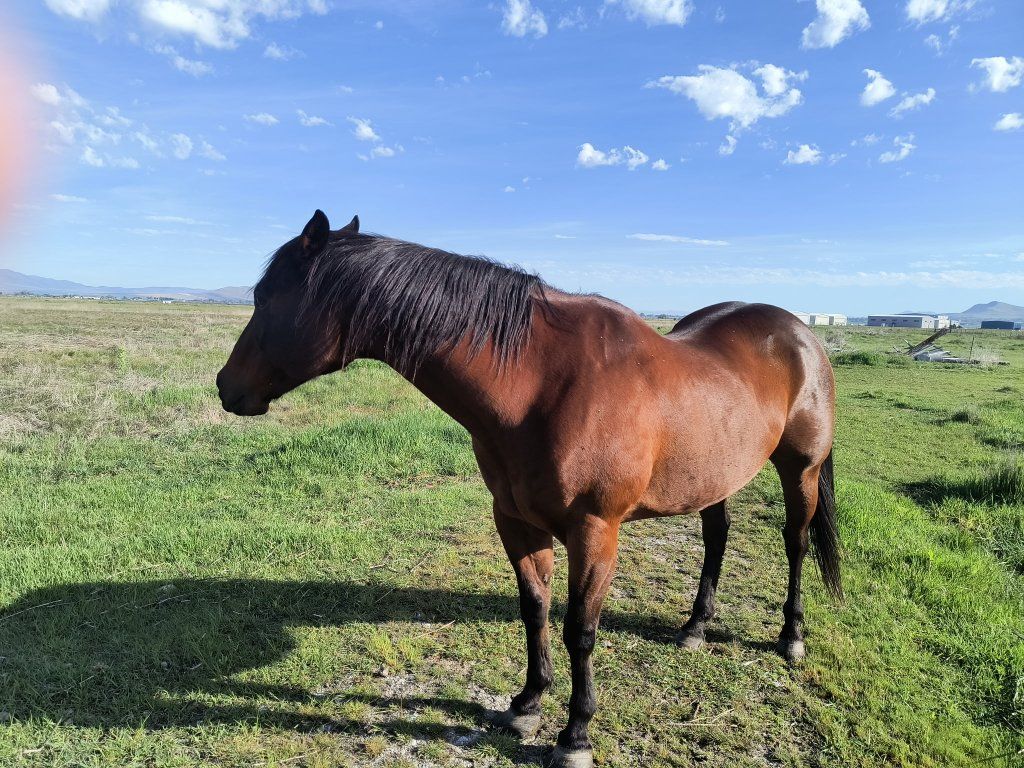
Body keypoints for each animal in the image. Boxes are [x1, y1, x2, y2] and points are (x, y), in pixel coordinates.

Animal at [217, 210, 841, 768]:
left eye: (267, 296)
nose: (225, 386)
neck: (540, 385)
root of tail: (800, 332)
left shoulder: (594, 532)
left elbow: (580, 630)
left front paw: (576, 734)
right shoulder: (515, 521)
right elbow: (534, 608)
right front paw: (526, 704)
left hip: (801, 470)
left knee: (795, 543)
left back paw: (791, 635)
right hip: (714, 476)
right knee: (717, 538)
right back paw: (694, 627)